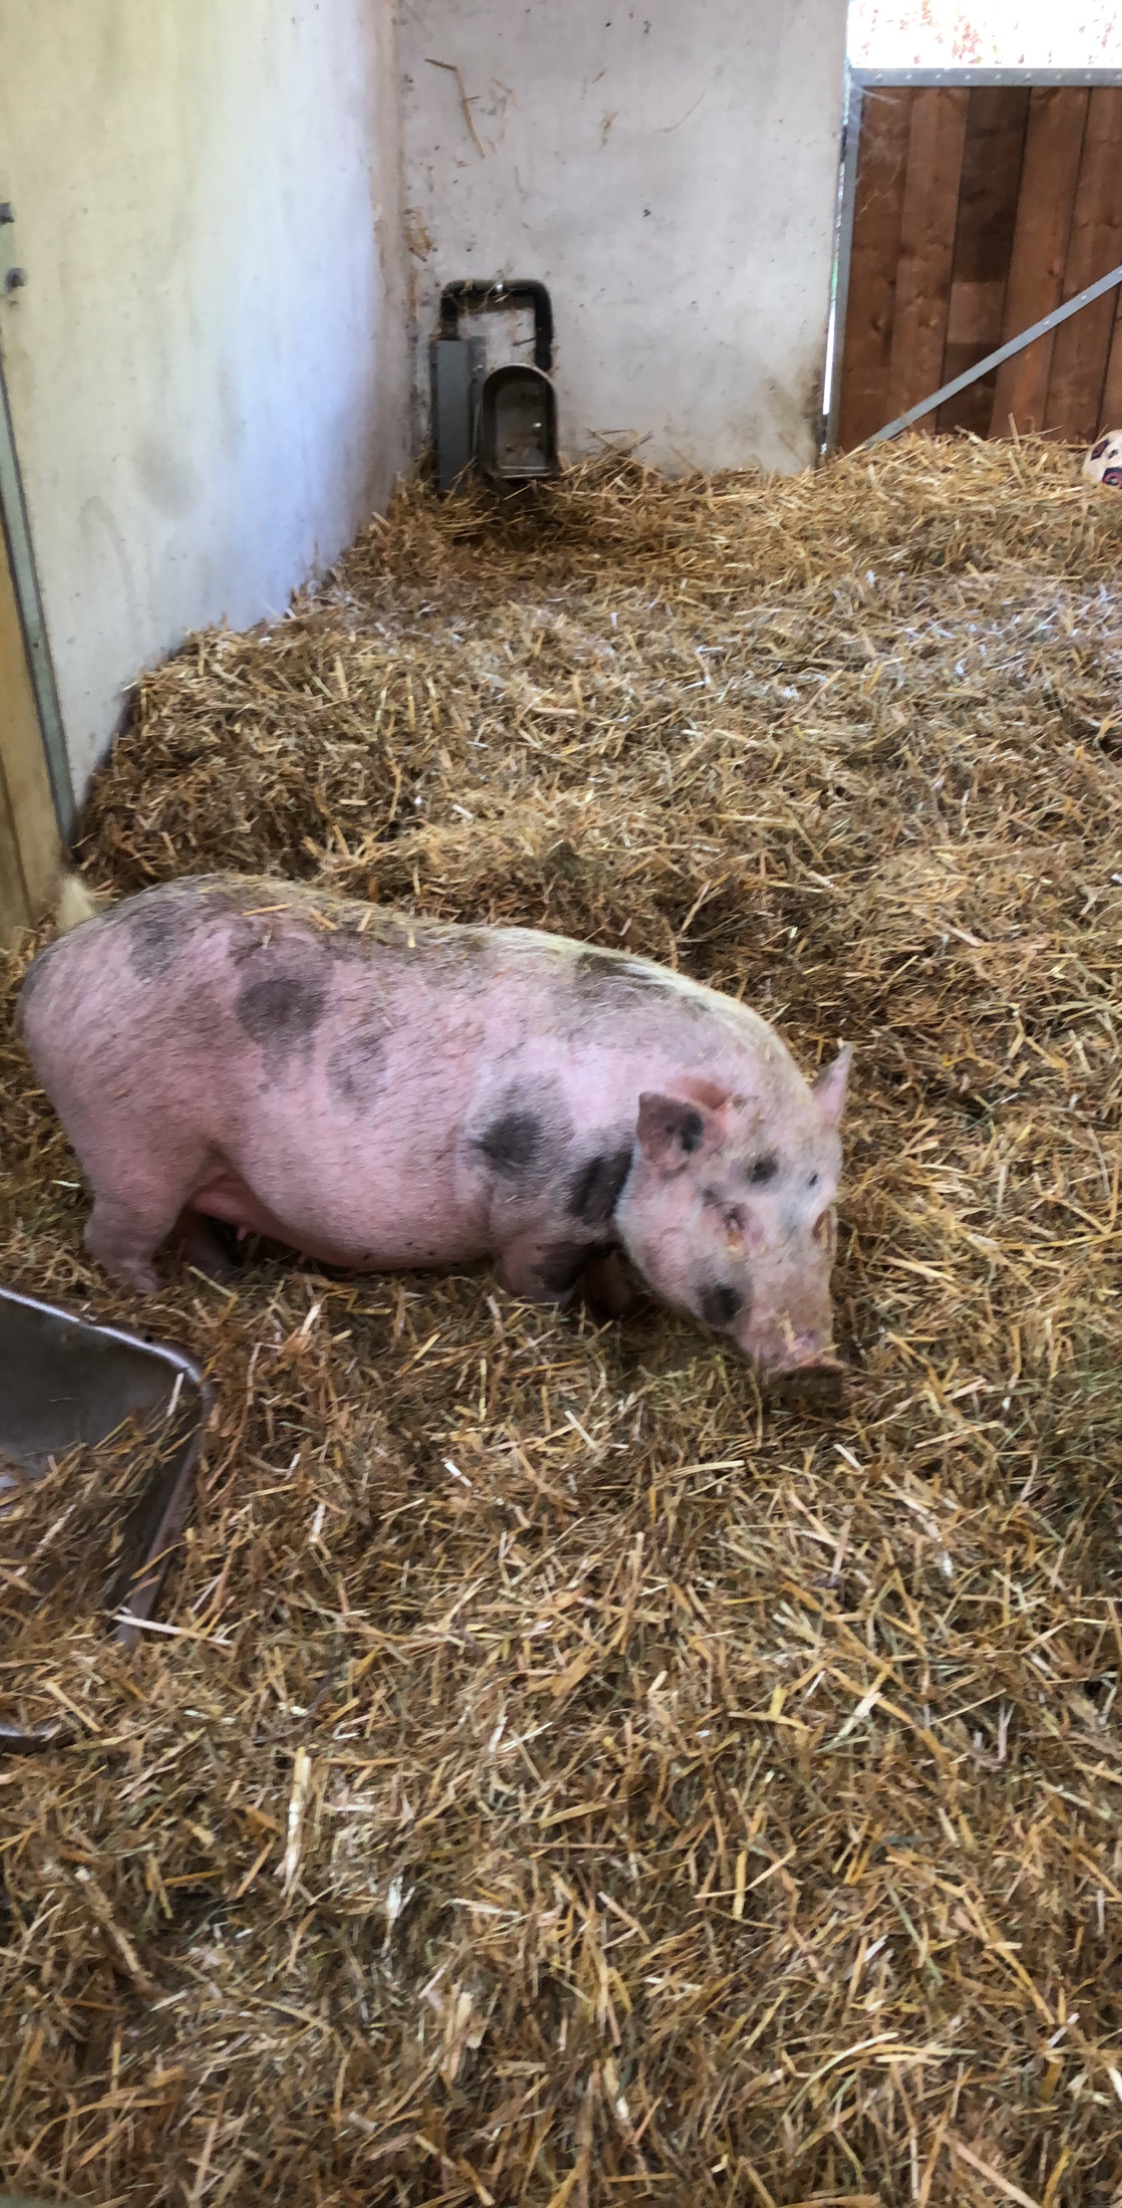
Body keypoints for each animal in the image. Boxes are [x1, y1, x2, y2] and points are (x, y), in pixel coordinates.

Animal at [17, 875, 851, 1375]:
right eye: (733, 1216)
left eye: (822, 1218)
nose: (813, 1355)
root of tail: (50, 967)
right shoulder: (539, 1220)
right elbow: (536, 1286)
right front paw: (577, 1326)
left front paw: (619, 1308)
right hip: (130, 1147)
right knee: (110, 1238)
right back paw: (156, 1295)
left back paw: (225, 1276)